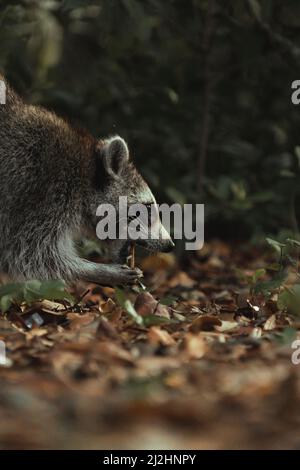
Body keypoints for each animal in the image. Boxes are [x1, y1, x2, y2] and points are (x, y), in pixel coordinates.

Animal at [0, 75, 173, 284]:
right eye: (147, 207)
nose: (169, 245)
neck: (84, 176)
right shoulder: (40, 196)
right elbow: (33, 254)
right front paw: (97, 271)